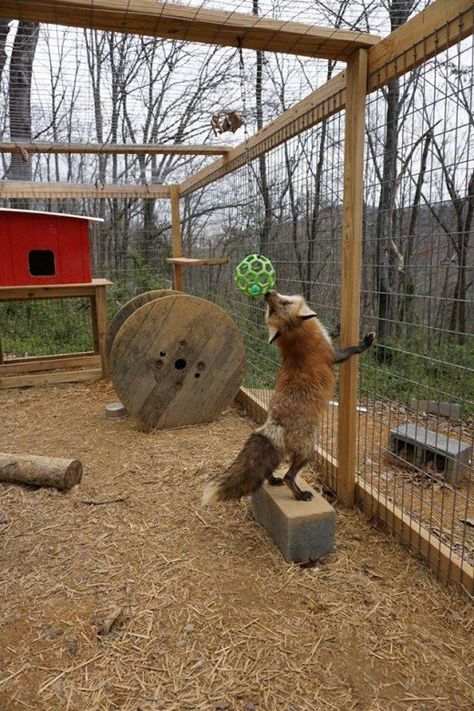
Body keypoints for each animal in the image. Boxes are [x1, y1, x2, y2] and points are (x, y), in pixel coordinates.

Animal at [202, 290, 376, 506]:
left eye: (279, 306)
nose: (267, 293)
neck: (297, 337)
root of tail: (275, 422)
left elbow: (331, 332)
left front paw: (337, 327)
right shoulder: (332, 356)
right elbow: (351, 350)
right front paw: (364, 343)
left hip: (283, 453)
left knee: (267, 472)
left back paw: (272, 480)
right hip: (308, 450)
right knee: (289, 477)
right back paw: (299, 494)